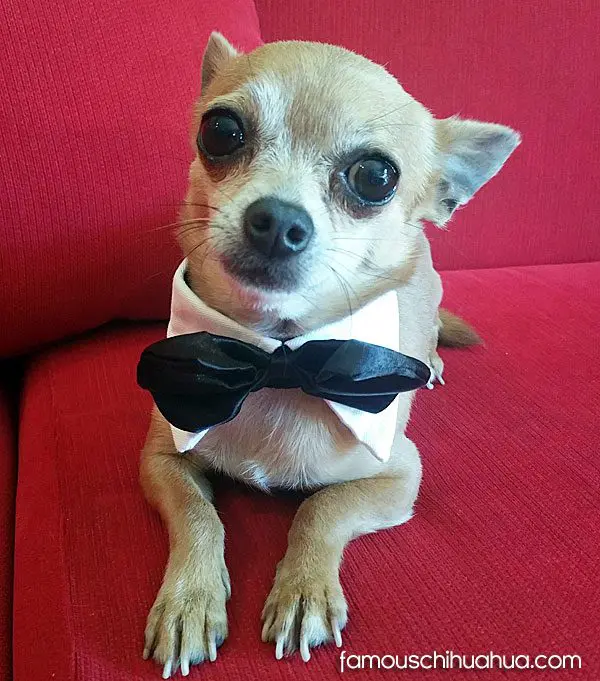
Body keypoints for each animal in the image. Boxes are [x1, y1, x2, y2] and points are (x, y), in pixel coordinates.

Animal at [139, 33, 519, 677]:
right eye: (221, 131)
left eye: (375, 176)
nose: (276, 219)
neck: (278, 356)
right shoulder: (162, 456)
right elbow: (197, 515)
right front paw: (190, 600)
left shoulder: (398, 476)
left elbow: (321, 510)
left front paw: (303, 590)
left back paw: (434, 365)